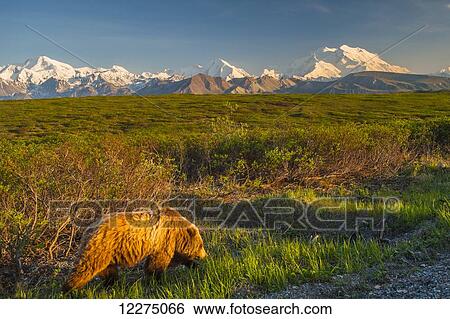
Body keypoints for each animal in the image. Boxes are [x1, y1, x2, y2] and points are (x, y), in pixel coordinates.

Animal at [63, 208, 207, 292]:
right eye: (201, 245)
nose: (205, 255)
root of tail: (89, 228)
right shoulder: (165, 239)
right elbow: (159, 262)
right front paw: (157, 279)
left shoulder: (167, 242)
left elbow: (177, 257)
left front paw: (195, 265)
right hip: (102, 245)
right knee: (86, 266)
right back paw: (69, 289)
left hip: (107, 252)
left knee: (107, 269)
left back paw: (112, 284)